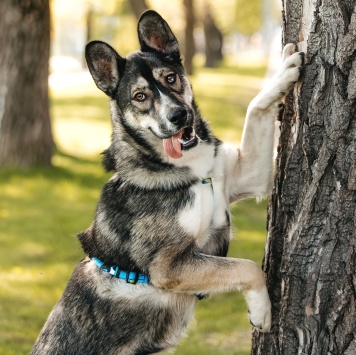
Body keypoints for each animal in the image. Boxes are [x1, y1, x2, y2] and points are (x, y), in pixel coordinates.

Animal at [31, 9, 304, 354]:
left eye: (171, 78)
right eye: (140, 96)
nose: (178, 116)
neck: (192, 173)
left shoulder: (247, 175)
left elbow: (255, 107)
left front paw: (283, 71)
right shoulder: (169, 266)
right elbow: (247, 266)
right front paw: (261, 310)